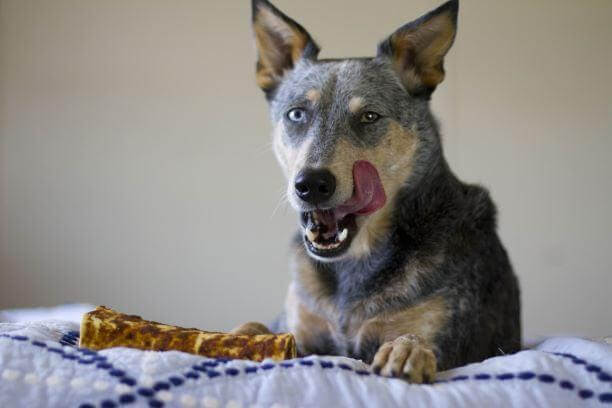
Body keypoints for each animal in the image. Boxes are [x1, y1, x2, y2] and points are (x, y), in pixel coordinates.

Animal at [231, 0, 520, 382]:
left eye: (369, 116)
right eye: (296, 114)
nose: (312, 184)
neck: (353, 266)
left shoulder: (451, 336)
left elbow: (416, 338)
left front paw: (406, 350)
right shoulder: (302, 331)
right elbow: (258, 327)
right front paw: (238, 335)